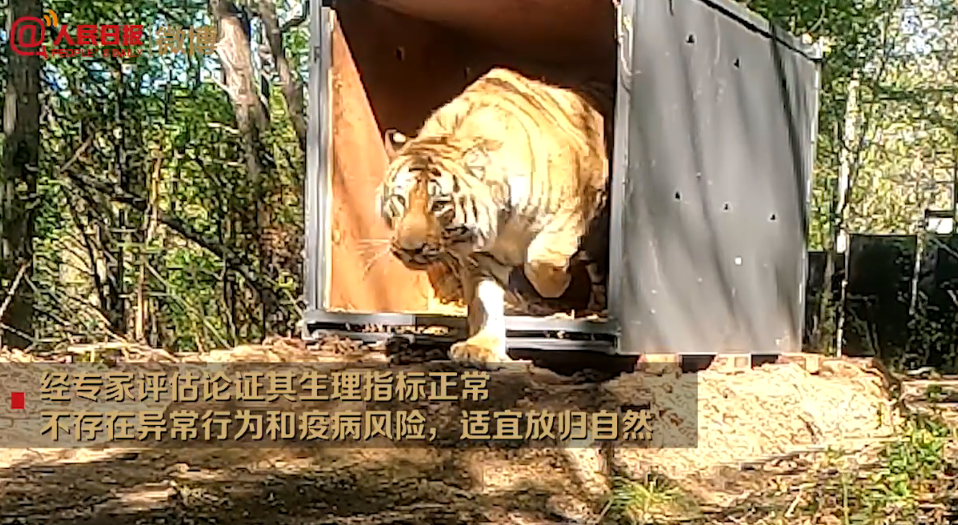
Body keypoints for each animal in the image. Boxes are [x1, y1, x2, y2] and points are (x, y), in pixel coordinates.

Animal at [374, 66, 613, 367]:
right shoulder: (479, 256)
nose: (410, 249)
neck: (502, 222)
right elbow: (483, 302)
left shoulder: (570, 209)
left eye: (439, 204)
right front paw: (481, 347)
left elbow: (541, 262)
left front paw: (557, 287)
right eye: (400, 200)